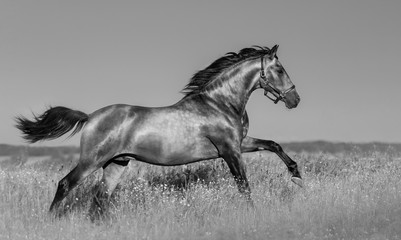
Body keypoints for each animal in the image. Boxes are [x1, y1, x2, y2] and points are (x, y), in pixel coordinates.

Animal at [17, 43, 302, 218]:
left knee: (101, 197)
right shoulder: (230, 150)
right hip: (92, 160)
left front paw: (297, 176)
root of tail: (90, 118)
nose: (295, 100)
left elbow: (273, 144)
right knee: (66, 184)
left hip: (116, 163)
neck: (219, 103)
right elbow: (243, 185)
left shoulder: (240, 143)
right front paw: (253, 211)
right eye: (279, 69)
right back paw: (51, 220)